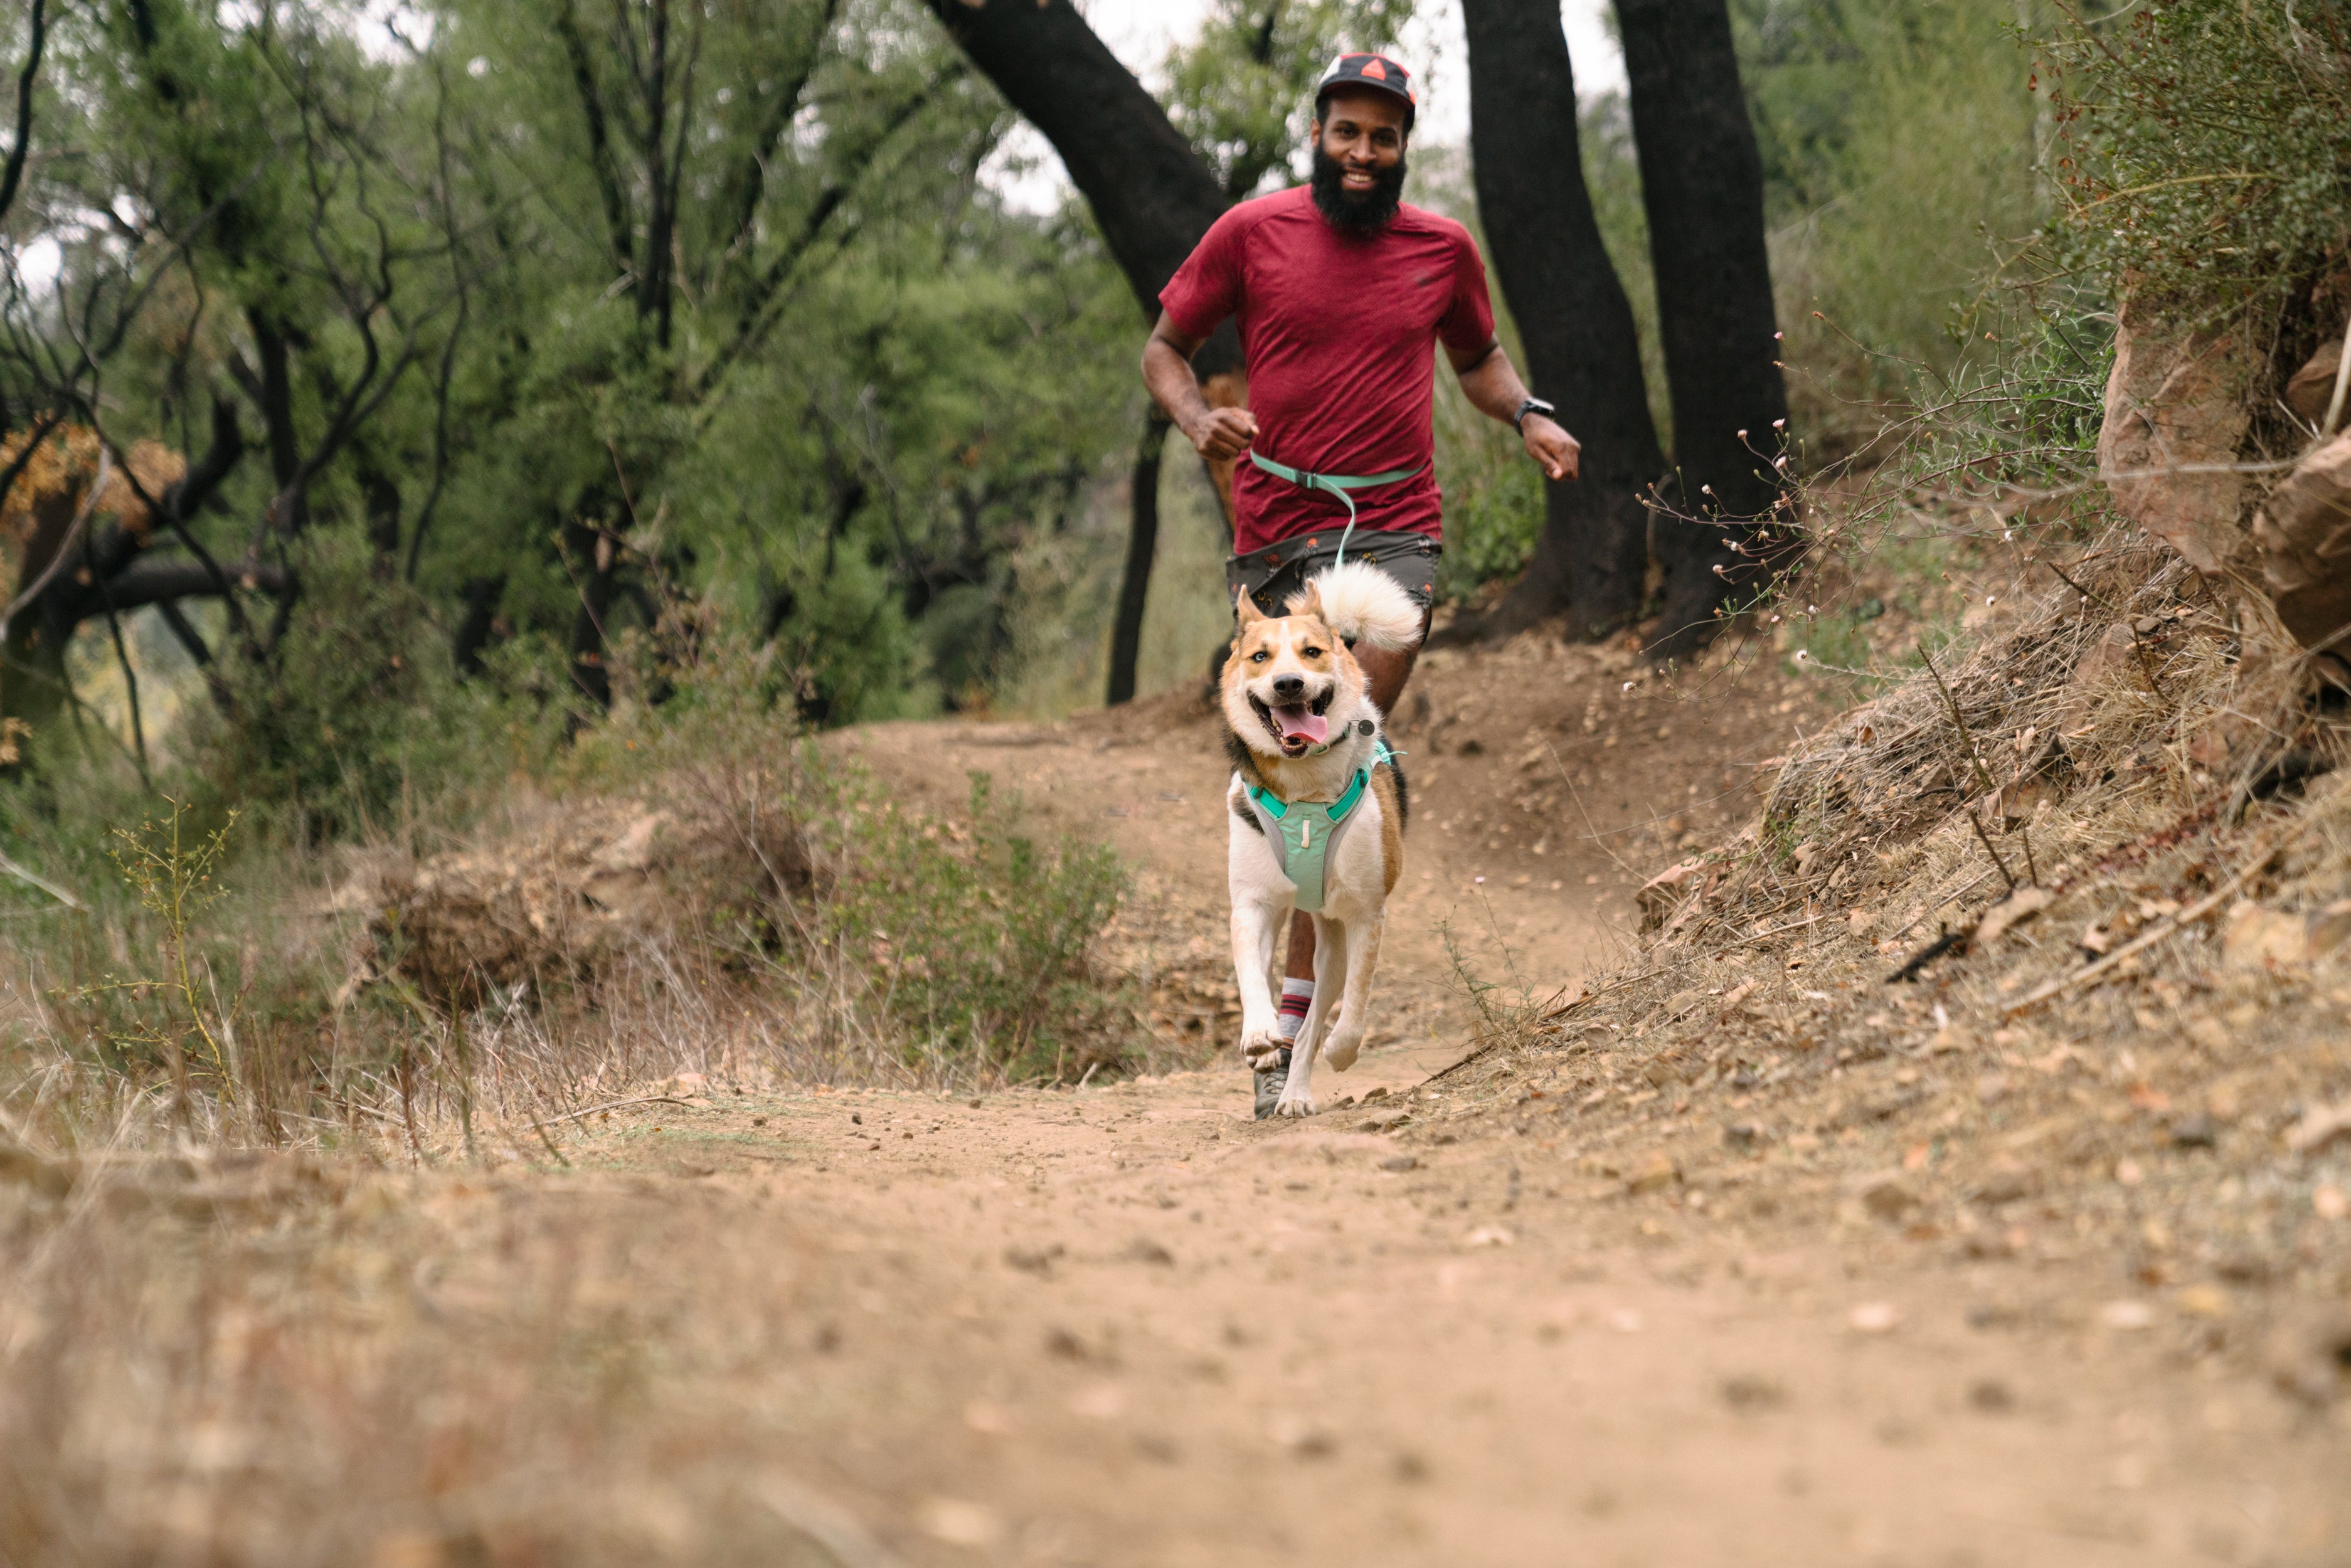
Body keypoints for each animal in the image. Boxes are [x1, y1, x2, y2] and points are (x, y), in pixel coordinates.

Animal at [1231, 564, 1410, 1114]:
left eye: (1311, 652)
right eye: (1260, 657)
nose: (1288, 684)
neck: (1305, 791)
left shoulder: (1367, 913)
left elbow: (1355, 1001)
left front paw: (1342, 1050)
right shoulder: (1251, 901)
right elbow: (1250, 971)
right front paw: (1258, 1033)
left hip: (1330, 942)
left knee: (1314, 1020)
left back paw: (1296, 1089)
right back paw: (1273, 1056)